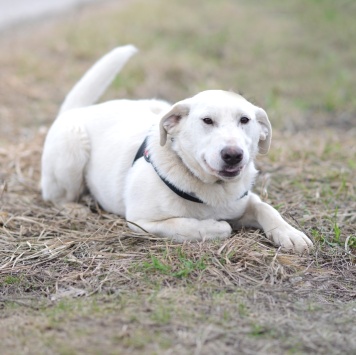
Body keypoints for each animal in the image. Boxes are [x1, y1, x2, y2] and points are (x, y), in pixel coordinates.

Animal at [41, 44, 312, 253]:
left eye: (245, 120)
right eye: (207, 120)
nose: (233, 155)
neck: (212, 188)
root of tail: (77, 110)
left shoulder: (244, 201)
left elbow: (266, 208)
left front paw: (289, 233)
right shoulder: (143, 221)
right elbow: (190, 225)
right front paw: (216, 226)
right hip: (72, 150)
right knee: (56, 197)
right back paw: (75, 208)